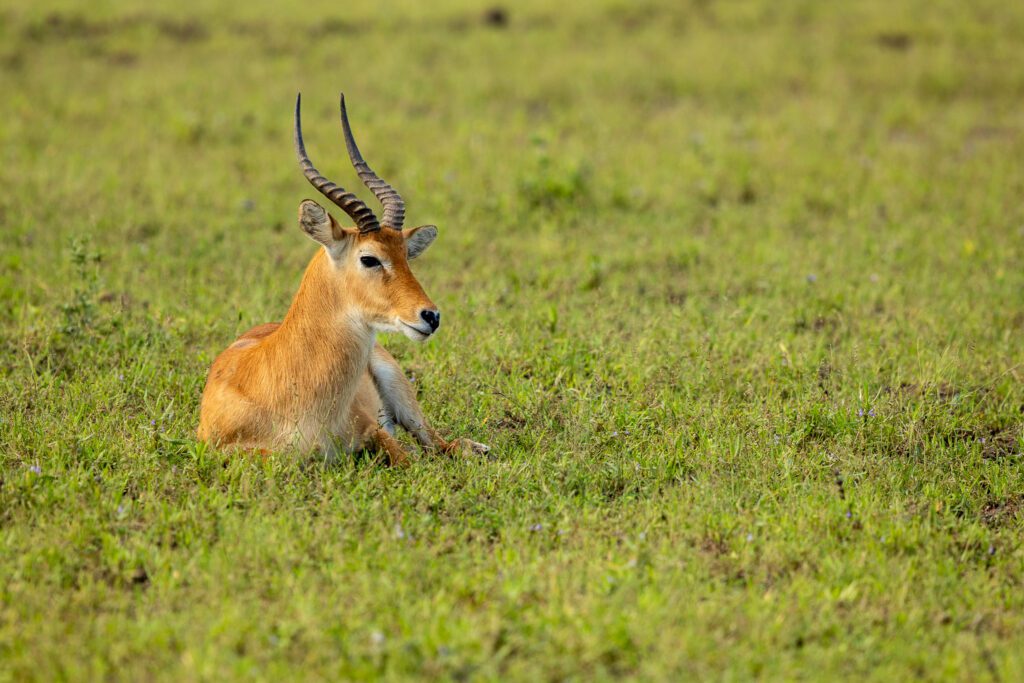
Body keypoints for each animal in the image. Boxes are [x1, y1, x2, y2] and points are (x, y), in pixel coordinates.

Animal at [199, 93, 491, 464]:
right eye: (369, 258)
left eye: (406, 256)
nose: (431, 316)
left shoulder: (373, 429)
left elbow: (406, 457)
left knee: (440, 444)